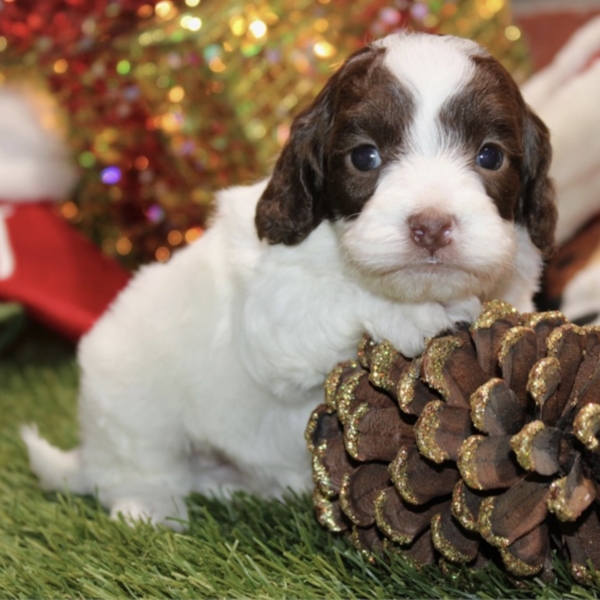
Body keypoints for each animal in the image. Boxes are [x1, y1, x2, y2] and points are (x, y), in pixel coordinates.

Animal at [23, 31, 556, 528]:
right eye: (365, 157)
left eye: (490, 156)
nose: (431, 226)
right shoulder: (272, 314)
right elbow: (337, 297)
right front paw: (414, 314)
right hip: (128, 400)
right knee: (136, 466)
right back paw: (148, 509)